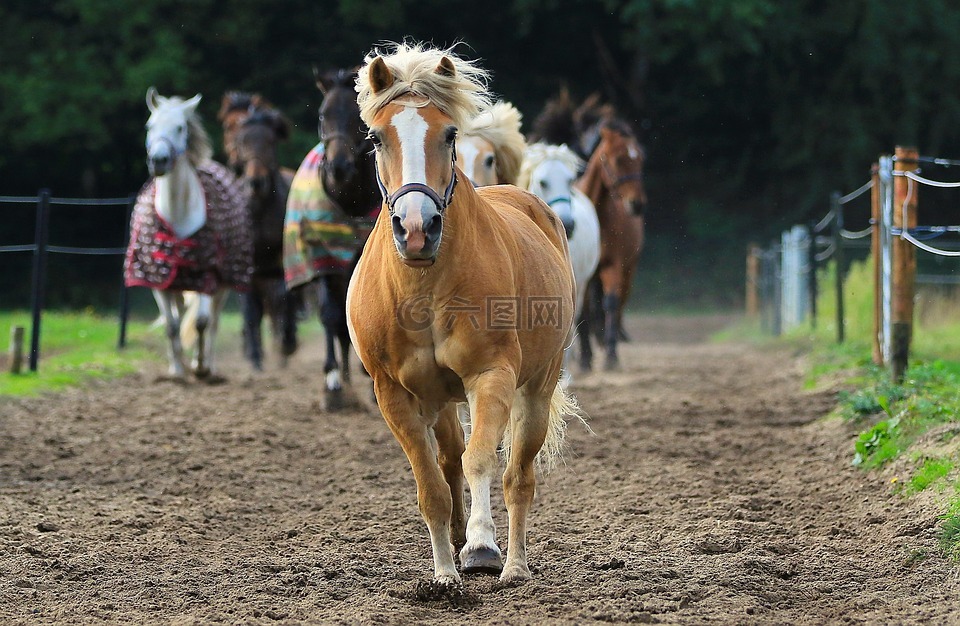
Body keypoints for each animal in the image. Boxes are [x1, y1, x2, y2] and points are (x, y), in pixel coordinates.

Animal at [125, 86, 253, 380]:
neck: (178, 212)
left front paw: (200, 366)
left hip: (222, 285)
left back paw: (210, 365)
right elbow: (172, 325)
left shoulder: (206, 276)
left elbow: (202, 322)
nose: (159, 160)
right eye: (150, 125)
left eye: (180, 127)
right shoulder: (157, 278)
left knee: (213, 320)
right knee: (180, 314)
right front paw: (177, 370)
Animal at [282, 67, 378, 410]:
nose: (338, 166)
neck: (349, 200)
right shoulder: (321, 258)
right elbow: (329, 316)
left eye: (358, 116)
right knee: (338, 324)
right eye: (323, 115)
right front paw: (333, 383)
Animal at [350, 42, 580, 584]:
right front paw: (444, 575)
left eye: (449, 132)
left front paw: (481, 547)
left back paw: (513, 563)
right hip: (440, 399)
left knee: (518, 475)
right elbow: (432, 484)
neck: (425, 289)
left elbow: (482, 462)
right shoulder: (394, 394)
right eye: (376, 136)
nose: (417, 229)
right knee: (450, 458)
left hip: (536, 389)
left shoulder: (491, 376)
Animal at [576, 119, 644, 368]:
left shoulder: (614, 264)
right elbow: (584, 311)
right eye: (618, 159)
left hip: (628, 270)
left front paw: (611, 354)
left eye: (640, 158)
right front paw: (585, 357)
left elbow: (611, 302)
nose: (636, 204)